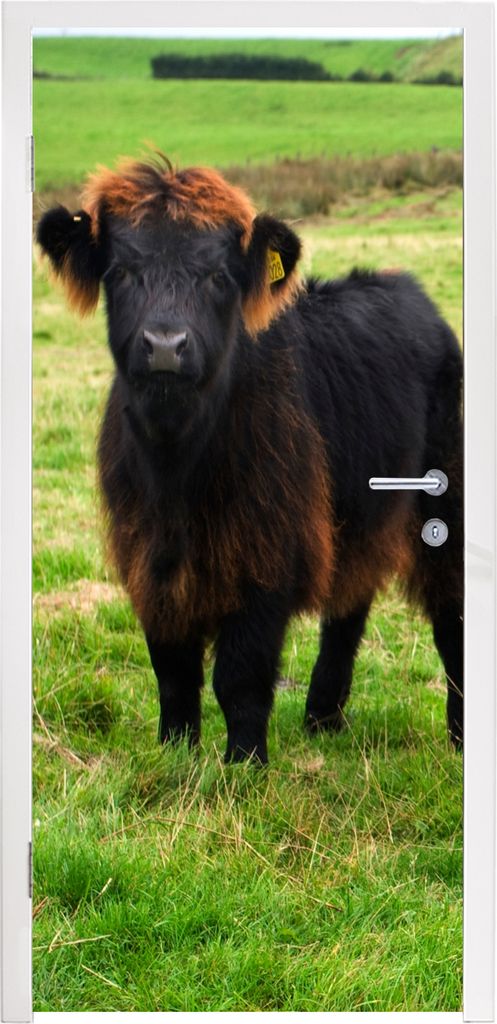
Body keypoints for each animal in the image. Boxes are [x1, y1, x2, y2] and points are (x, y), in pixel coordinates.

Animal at [37, 155, 463, 764]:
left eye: (219, 276)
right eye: (118, 272)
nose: (165, 345)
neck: (178, 465)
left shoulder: (267, 556)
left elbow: (240, 674)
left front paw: (244, 763)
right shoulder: (150, 561)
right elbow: (173, 671)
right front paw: (176, 753)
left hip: (446, 502)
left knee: (452, 613)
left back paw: (458, 735)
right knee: (349, 604)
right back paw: (322, 718)